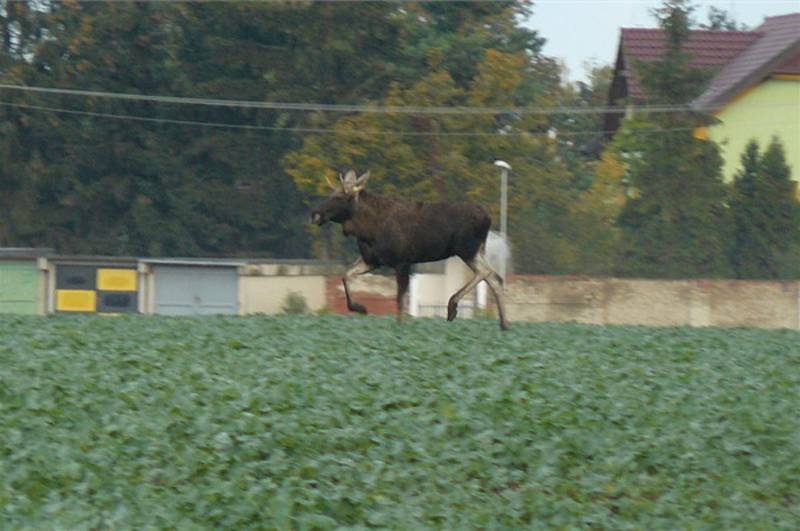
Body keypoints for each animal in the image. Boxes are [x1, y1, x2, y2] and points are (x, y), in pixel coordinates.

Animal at [310, 169, 510, 332]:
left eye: (340, 197)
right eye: (331, 193)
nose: (315, 214)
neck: (366, 230)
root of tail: (488, 218)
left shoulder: (402, 261)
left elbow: (400, 298)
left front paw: (400, 328)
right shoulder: (372, 260)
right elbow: (346, 275)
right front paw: (360, 308)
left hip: (466, 249)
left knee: (486, 272)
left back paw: (452, 307)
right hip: (476, 250)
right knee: (496, 278)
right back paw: (503, 325)